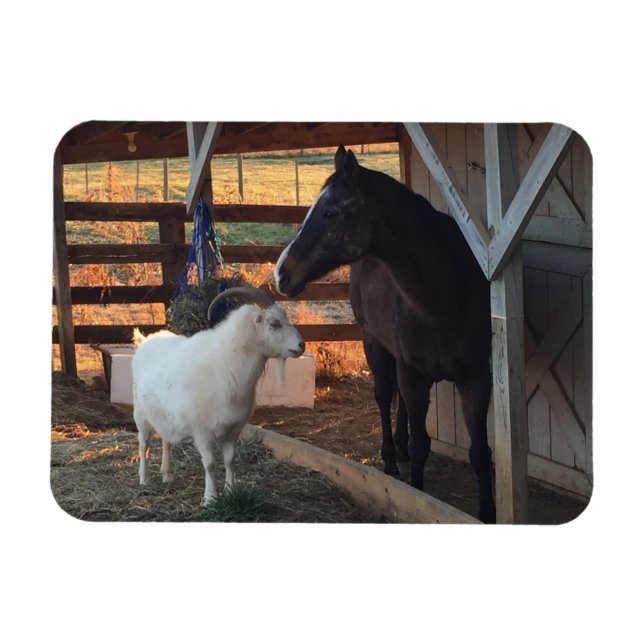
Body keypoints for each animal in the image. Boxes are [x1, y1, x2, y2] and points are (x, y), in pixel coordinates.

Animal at [274, 145, 495, 523]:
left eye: (330, 212)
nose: (281, 273)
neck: (446, 300)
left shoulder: (476, 378)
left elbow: (480, 453)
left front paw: (488, 512)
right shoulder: (413, 373)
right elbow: (421, 444)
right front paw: (416, 493)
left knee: (399, 403)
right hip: (373, 344)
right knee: (383, 396)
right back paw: (392, 459)